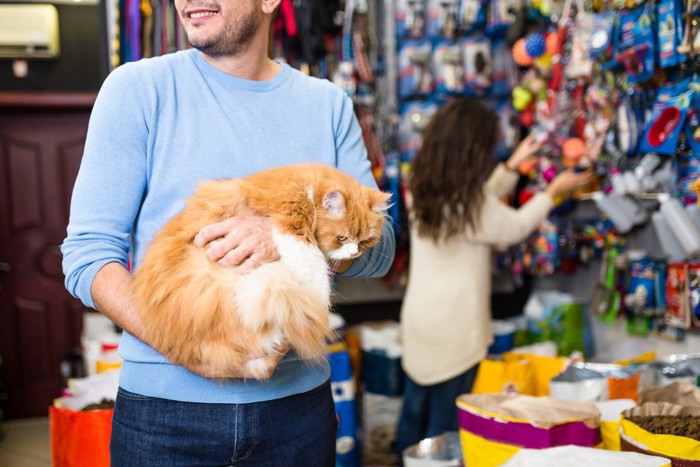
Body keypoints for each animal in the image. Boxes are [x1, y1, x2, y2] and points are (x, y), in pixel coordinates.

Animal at [134, 164, 392, 380]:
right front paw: (319, 306)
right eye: (342, 238)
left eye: (365, 241)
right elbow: (313, 265)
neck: (308, 184)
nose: (353, 254)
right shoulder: (292, 219)